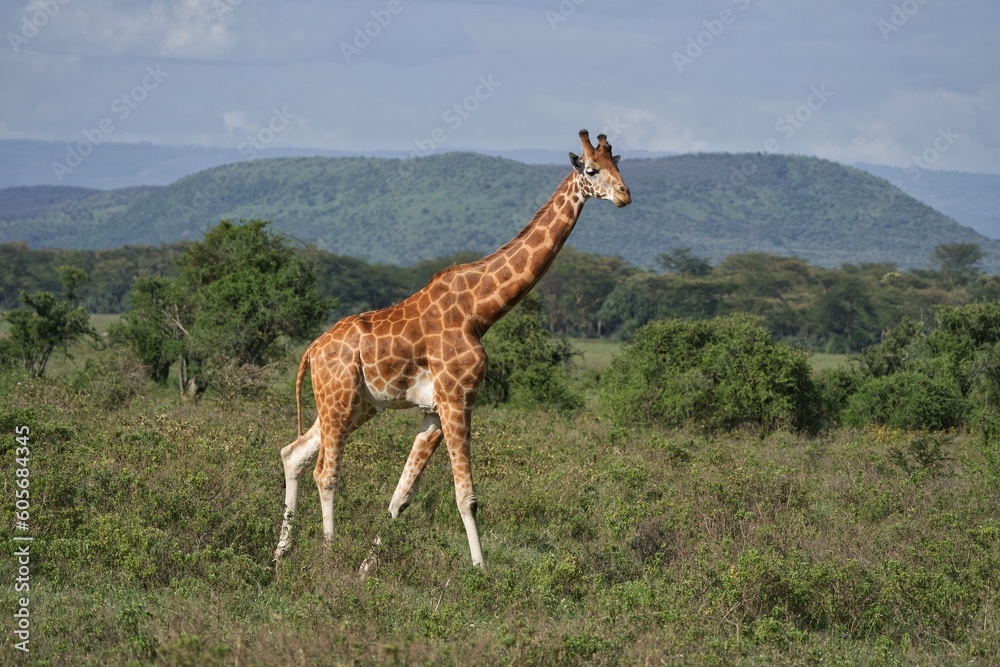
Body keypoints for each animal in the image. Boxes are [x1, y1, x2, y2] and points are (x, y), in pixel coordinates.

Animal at [274, 129, 631, 569]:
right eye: (593, 170)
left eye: (619, 165)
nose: (625, 195)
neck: (479, 310)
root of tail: (311, 349)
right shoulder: (458, 399)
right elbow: (467, 496)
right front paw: (481, 572)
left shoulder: (434, 409)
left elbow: (402, 497)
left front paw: (365, 569)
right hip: (338, 398)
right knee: (325, 471)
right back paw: (327, 555)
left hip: (356, 404)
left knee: (294, 453)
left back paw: (280, 558)